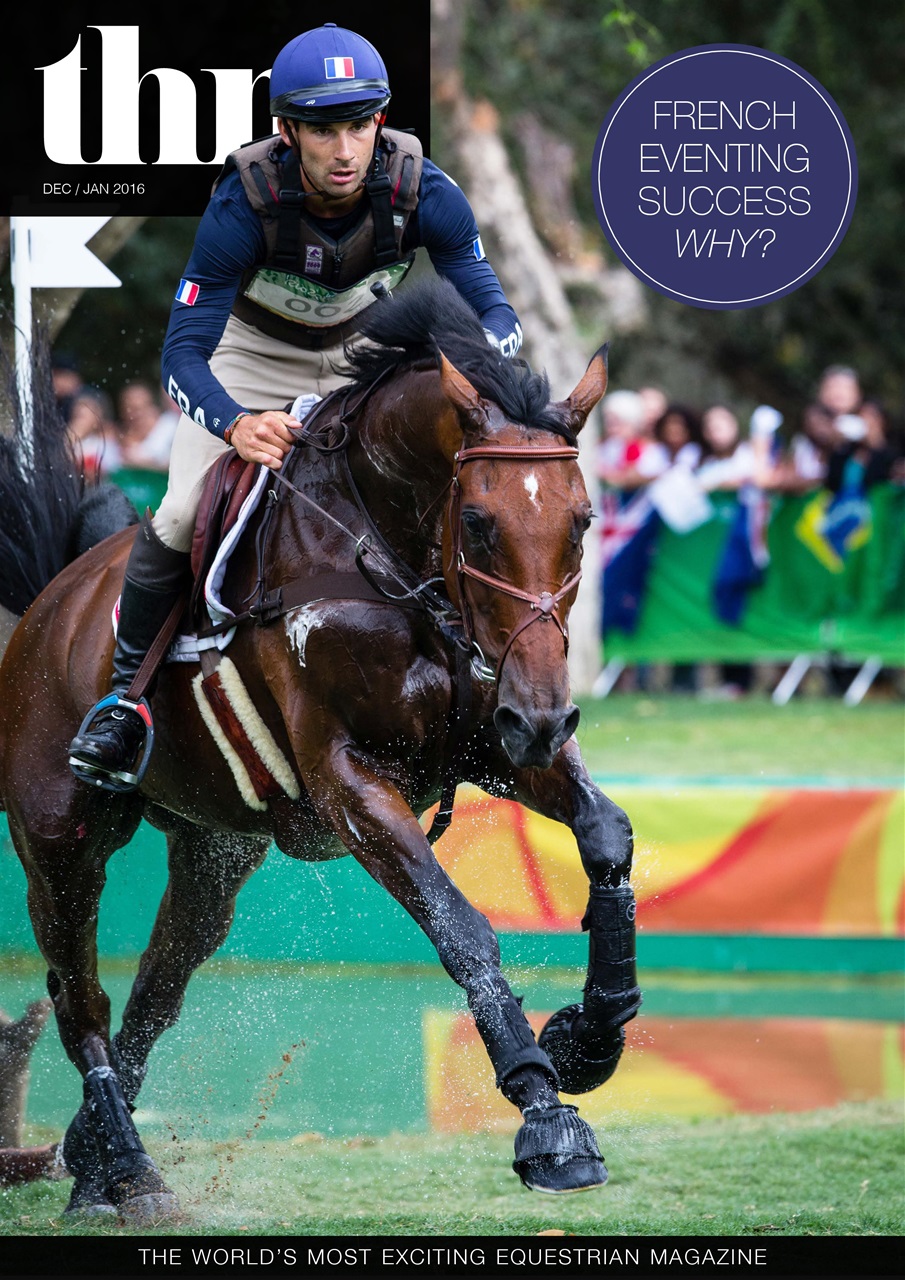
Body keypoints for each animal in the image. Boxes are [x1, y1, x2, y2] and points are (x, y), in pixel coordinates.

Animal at [0, 277, 640, 1221]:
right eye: (478, 522)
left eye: (584, 520)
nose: (548, 717)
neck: (387, 548)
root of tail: (51, 603)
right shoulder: (350, 784)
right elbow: (459, 926)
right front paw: (545, 1118)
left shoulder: (491, 748)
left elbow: (606, 834)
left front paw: (589, 1038)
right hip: (59, 844)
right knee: (79, 998)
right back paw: (133, 1172)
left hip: (213, 853)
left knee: (155, 993)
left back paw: (92, 1165)